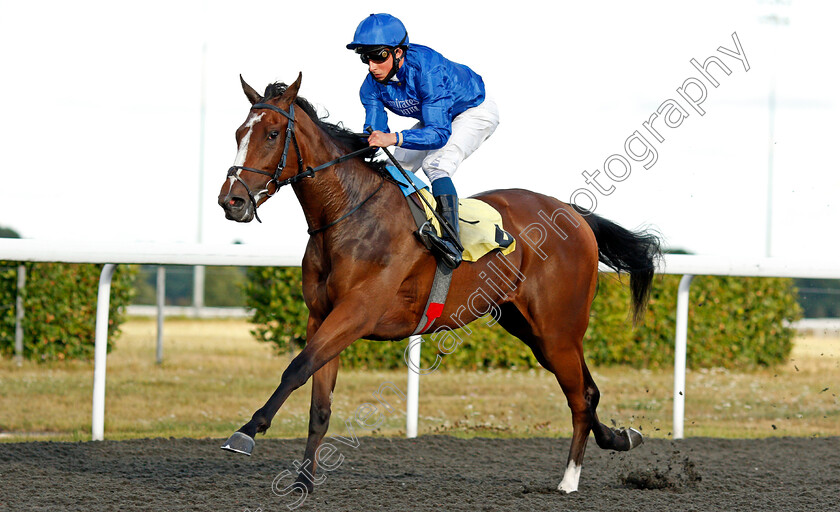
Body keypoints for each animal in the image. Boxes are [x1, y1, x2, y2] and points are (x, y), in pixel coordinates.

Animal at [218, 74, 664, 494]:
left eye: (272, 133)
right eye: (239, 132)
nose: (231, 201)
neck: (349, 214)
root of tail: (573, 213)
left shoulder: (357, 313)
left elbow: (296, 368)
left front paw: (246, 432)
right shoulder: (322, 316)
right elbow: (319, 403)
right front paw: (303, 482)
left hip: (558, 328)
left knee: (579, 396)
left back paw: (569, 480)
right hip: (531, 329)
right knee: (588, 391)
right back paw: (621, 438)